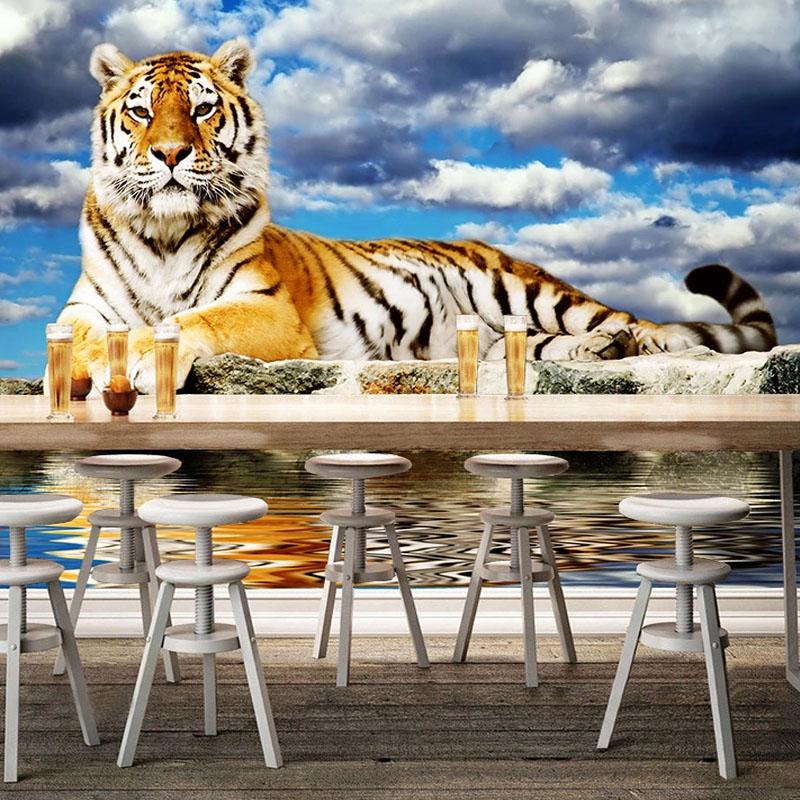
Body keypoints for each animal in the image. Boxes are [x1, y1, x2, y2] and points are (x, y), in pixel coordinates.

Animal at [58, 39, 777, 394]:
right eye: (141, 112)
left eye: (203, 109)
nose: (171, 153)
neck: (165, 231)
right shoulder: (84, 308)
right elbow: (84, 337)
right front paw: (95, 365)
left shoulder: (267, 308)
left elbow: (192, 319)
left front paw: (140, 357)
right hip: (491, 332)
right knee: (533, 348)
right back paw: (602, 351)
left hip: (528, 288)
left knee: (650, 329)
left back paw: (649, 345)